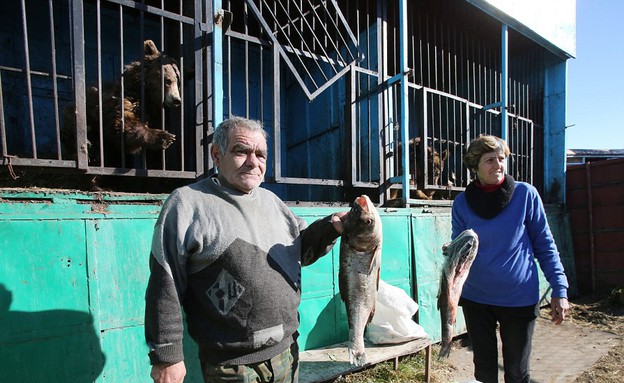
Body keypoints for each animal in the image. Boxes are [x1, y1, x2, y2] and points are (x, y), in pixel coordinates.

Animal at [63, 38, 179, 167]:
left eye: (177, 80)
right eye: (168, 81)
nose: (176, 100)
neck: (148, 96)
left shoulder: (156, 113)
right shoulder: (126, 97)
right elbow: (122, 121)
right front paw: (165, 137)